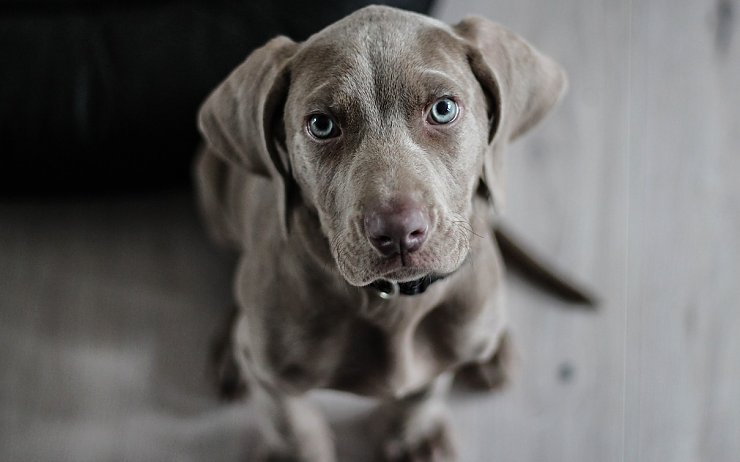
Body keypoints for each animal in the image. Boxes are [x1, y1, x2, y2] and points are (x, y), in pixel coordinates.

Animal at [195, 5, 568, 460]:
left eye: (443, 109)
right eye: (321, 125)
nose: (399, 232)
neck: (392, 302)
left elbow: (425, 389)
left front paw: (414, 435)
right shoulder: (271, 376)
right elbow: (290, 423)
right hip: (210, 184)